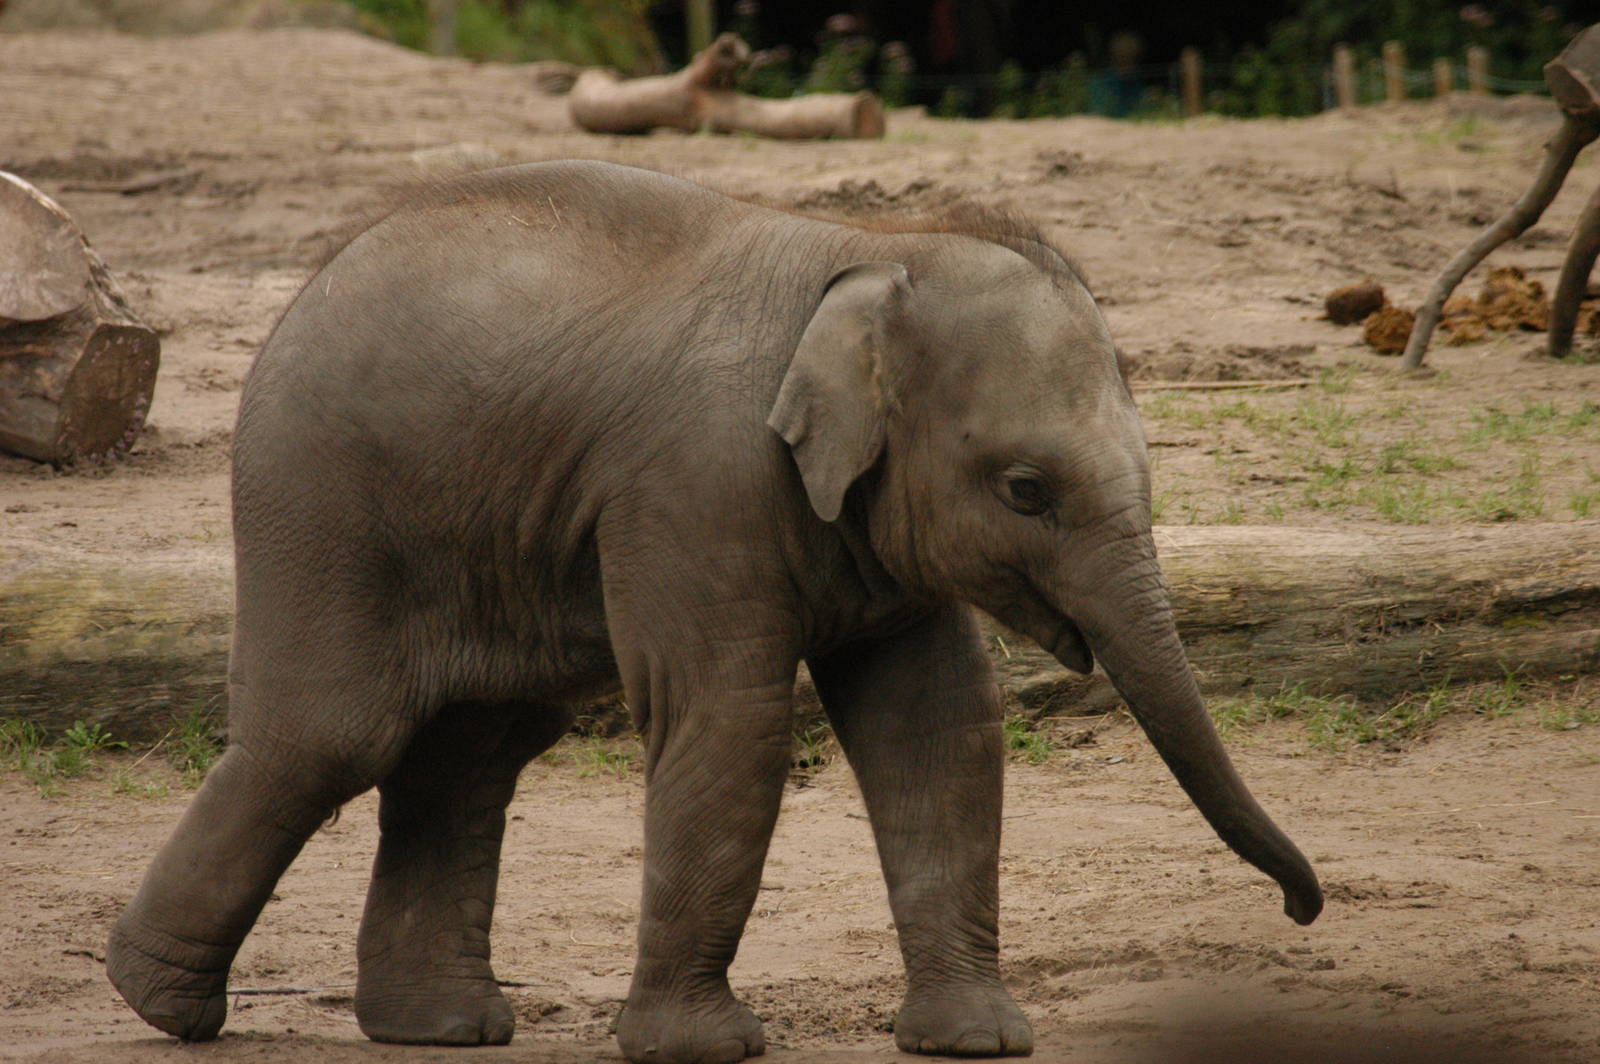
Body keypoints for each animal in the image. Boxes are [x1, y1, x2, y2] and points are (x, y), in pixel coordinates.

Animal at [106, 159, 1321, 1063]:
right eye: (1026, 489)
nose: (1304, 910)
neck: (870, 247)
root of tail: (305, 285)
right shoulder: (695, 480)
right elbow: (732, 718)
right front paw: (707, 1048)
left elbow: (935, 726)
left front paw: (977, 1039)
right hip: (322, 504)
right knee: (334, 737)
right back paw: (158, 1004)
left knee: (472, 752)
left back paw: (438, 1027)